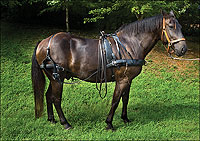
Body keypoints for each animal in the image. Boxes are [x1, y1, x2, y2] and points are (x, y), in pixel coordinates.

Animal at [31, 10, 188, 131]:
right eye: (170, 25)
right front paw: (109, 124)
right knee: (56, 99)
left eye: (180, 26)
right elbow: (115, 100)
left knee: (48, 95)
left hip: (54, 77)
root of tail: (44, 42)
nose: (183, 49)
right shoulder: (122, 80)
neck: (129, 44)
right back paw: (65, 123)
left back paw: (51, 119)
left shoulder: (128, 80)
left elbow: (125, 99)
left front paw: (125, 119)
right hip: (57, 77)